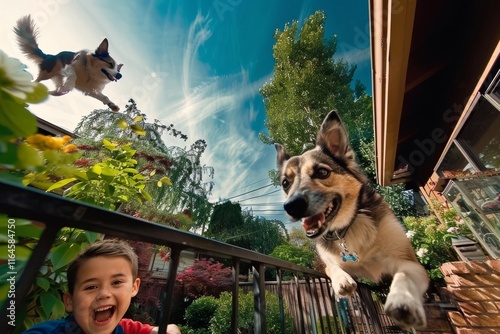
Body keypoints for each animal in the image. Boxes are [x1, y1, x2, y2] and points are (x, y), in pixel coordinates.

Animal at [276, 110, 428, 328]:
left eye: (322, 172)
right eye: (285, 183)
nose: (292, 206)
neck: (346, 229)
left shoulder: (410, 262)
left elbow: (404, 274)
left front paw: (403, 300)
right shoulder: (329, 263)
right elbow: (332, 267)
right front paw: (341, 280)